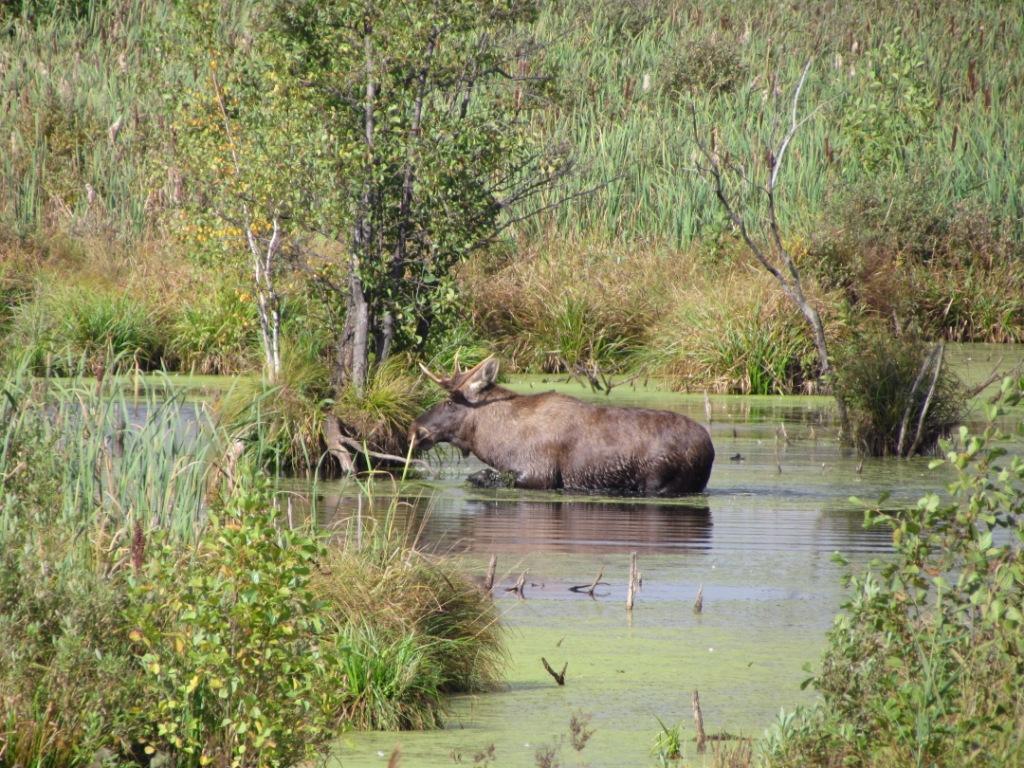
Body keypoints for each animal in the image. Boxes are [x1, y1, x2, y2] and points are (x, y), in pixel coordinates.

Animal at [405, 358, 712, 495]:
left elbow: (481, 477)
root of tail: (710, 450)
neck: (497, 443)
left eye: (450, 402)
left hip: (660, 482)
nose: (415, 429)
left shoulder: (540, 473)